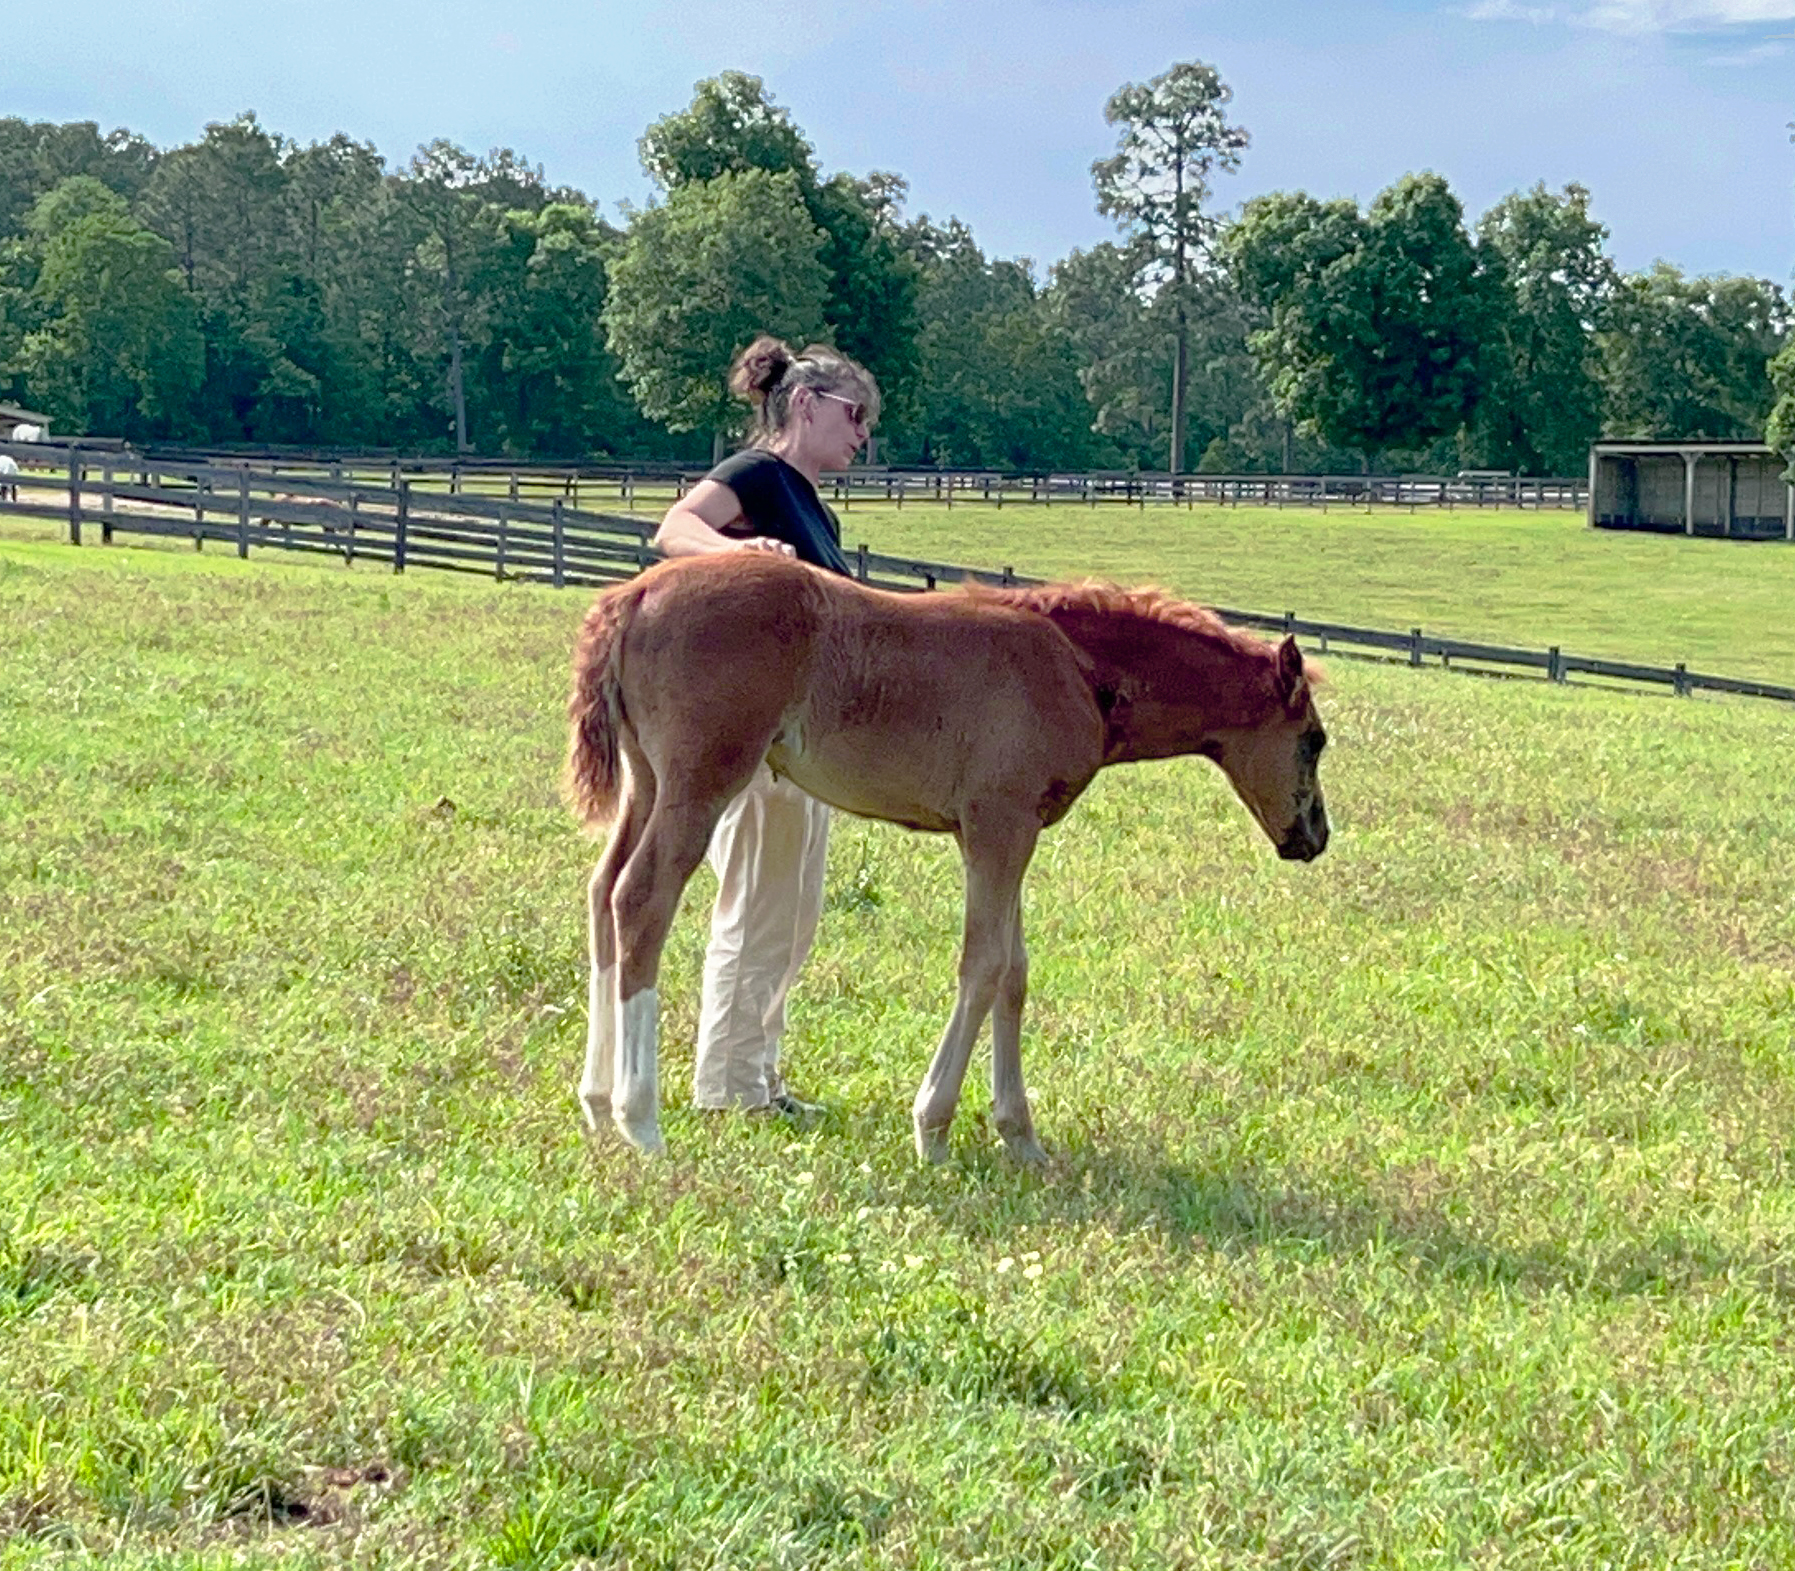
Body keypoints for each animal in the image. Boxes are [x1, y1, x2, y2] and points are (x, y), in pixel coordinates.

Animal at [565, 552, 1330, 1164]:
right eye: (1315, 740)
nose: (1315, 836)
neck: (1076, 667)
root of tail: (632, 595)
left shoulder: (1002, 834)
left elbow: (1014, 972)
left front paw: (1021, 1138)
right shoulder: (1000, 827)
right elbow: (983, 966)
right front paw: (932, 1127)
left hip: (647, 781)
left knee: (602, 890)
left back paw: (597, 1104)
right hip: (701, 782)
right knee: (640, 898)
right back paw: (641, 1121)